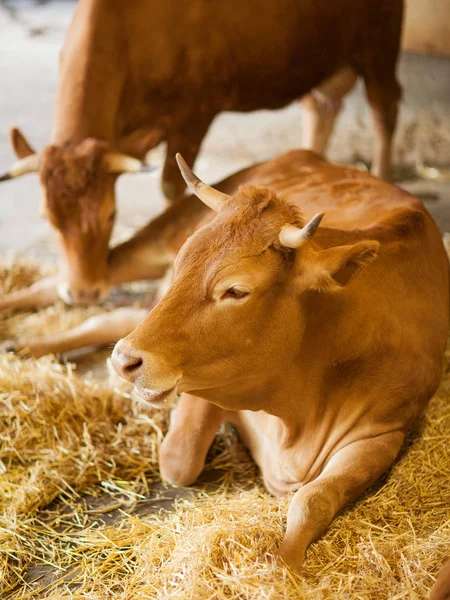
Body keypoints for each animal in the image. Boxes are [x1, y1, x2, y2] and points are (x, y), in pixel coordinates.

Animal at [0, 0, 400, 310]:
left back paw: (382, 173)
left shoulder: (193, 115)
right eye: (47, 217)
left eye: (111, 214)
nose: (83, 294)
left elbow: (169, 186)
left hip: (379, 42)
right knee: (321, 108)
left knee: (384, 110)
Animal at [109, 150, 450, 572]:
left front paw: (282, 565)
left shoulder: (382, 434)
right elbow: (178, 458)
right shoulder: (210, 383)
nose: (124, 359)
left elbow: (312, 499)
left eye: (235, 291)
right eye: (181, 263)